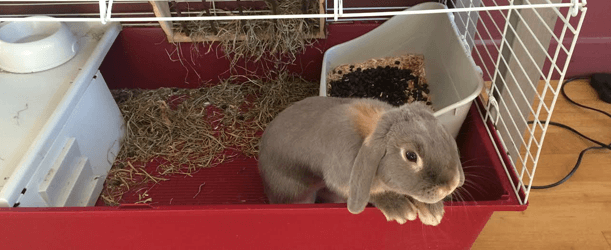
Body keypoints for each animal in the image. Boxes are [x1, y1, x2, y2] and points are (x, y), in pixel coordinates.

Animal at [256, 96, 464, 227]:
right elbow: (373, 193)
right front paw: (400, 209)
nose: (450, 185)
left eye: (443, 136)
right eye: (411, 156)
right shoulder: (343, 179)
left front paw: (433, 211)